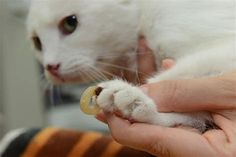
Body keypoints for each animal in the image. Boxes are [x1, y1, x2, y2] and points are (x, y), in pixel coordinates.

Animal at [27, 0, 236, 132]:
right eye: (37, 42)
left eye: (70, 23)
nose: (50, 66)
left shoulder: (226, 48)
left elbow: (177, 77)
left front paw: (132, 94)